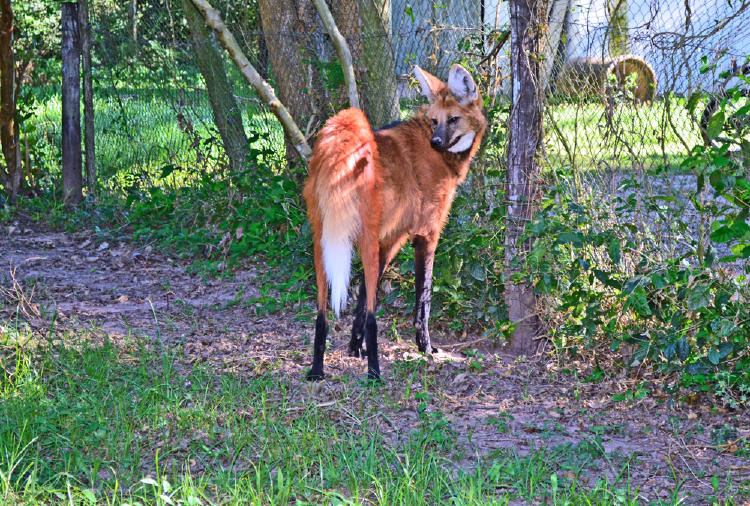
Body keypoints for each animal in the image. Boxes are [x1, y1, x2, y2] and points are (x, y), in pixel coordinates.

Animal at [304, 63, 488, 380]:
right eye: (435, 121)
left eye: (453, 120)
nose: (436, 141)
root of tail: (337, 145)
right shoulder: (425, 234)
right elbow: (422, 299)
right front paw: (426, 348)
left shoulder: (388, 240)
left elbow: (363, 297)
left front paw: (354, 348)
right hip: (360, 238)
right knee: (371, 316)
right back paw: (375, 373)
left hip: (323, 239)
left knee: (321, 311)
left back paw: (317, 369)